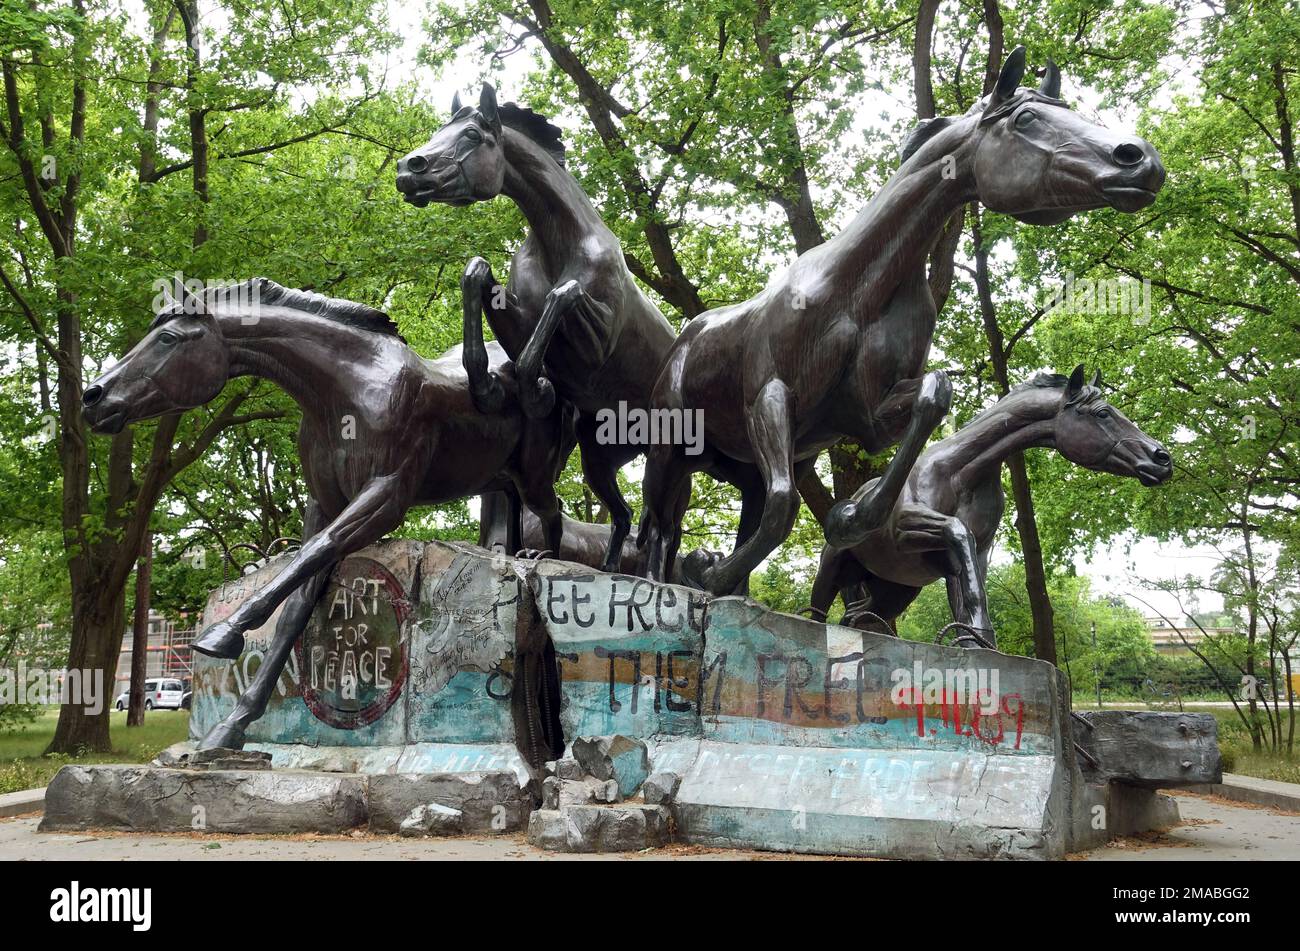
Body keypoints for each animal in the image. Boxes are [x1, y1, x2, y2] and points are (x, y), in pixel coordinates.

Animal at [392, 85, 681, 571]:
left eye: (472, 135)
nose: (408, 170)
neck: (560, 240)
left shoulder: (596, 342)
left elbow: (561, 297)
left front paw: (536, 389)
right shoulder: (515, 315)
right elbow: (475, 274)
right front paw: (487, 385)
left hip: (670, 458)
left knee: (666, 529)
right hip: (600, 459)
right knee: (623, 517)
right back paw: (604, 567)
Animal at [639, 48, 1170, 595]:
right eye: (1025, 118)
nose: (1140, 159)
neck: (855, 292)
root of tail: (685, 340)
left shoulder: (865, 418)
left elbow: (935, 395)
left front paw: (853, 518)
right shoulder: (770, 397)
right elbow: (786, 503)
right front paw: (707, 568)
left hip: (750, 466)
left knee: (740, 515)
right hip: (669, 450)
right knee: (659, 525)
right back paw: (665, 581)